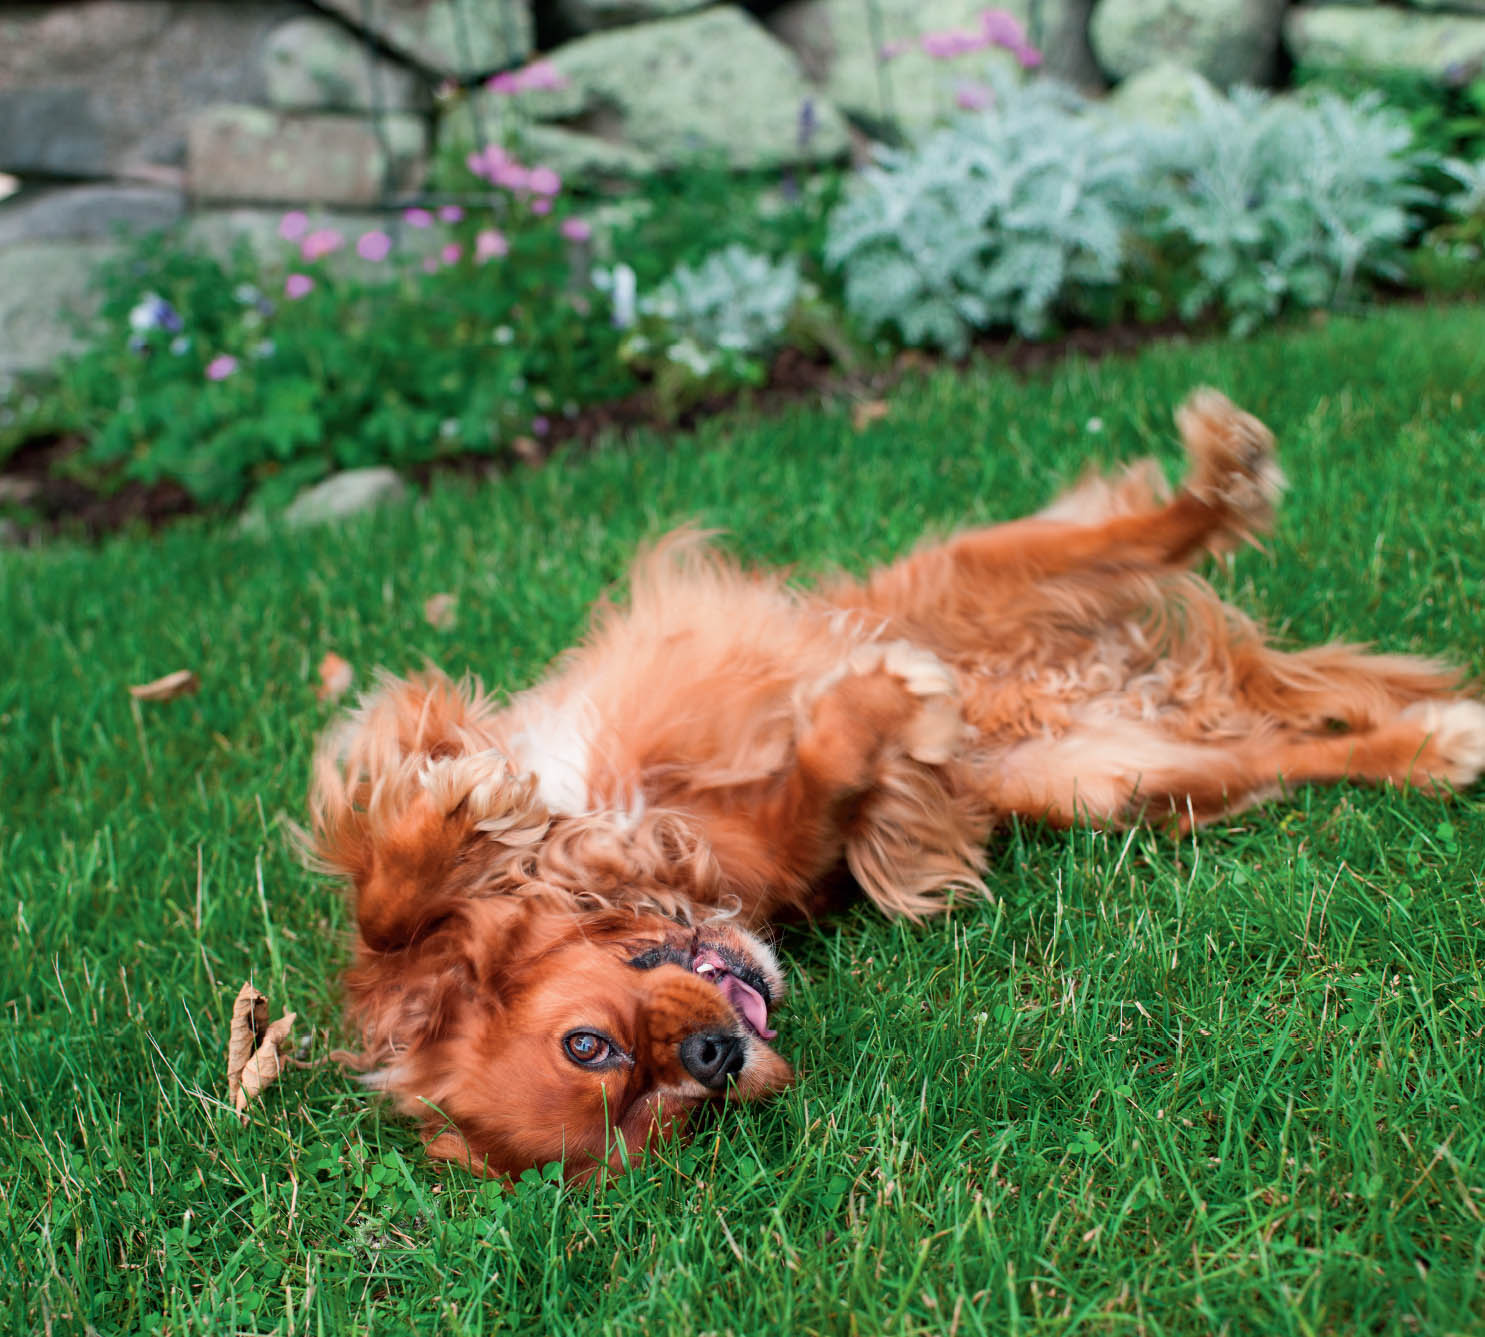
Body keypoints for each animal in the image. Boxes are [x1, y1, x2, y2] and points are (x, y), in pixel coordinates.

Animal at [304, 392, 1485, 1188]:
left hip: (966, 577)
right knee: (1287, 749)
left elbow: (390, 888)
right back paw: (1437, 742)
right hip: (1109, 774)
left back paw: (1223, 471)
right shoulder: (786, 854)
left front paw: (444, 813)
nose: (714, 1055)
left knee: (1131, 532)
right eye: (671, 1115)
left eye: (586, 1043)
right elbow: (823, 788)